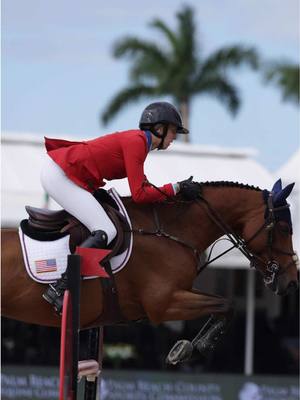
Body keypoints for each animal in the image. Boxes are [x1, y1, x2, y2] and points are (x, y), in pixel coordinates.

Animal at [1, 180, 298, 360]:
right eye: (285, 229)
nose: (292, 283)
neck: (171, 232)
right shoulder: (164, 304)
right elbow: (226, 304)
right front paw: (194, 348)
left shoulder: (181, 293)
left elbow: (224, 306)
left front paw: (186, 348)